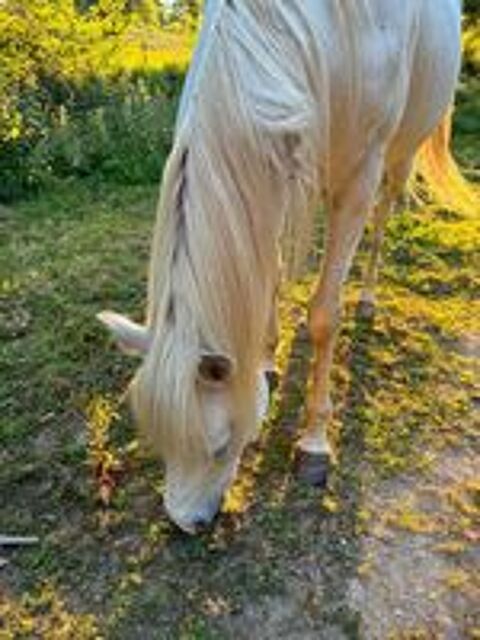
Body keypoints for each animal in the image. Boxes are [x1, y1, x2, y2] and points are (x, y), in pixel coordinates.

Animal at [98, 0, 475, 533]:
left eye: (219, 447)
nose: (187, 524)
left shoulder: (358, 178)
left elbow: (323, 316)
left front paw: (314, 444)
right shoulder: (274, 169)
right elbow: (272, 278)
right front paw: (267, 361)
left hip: (398, 155)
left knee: (383, 214)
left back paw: (366, 300)